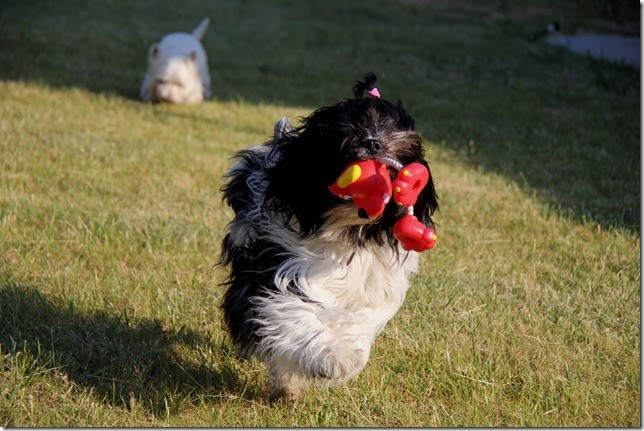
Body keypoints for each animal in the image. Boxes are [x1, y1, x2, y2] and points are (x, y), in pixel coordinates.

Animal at [220, 72, 438, 400]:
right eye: (351, 124)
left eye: (391, 128)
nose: (372, 142)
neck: (347, 228)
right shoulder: (278, 263)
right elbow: (291, 309)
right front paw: (331, 357)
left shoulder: (373, 285)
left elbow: (359, 322)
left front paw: (345, 353)